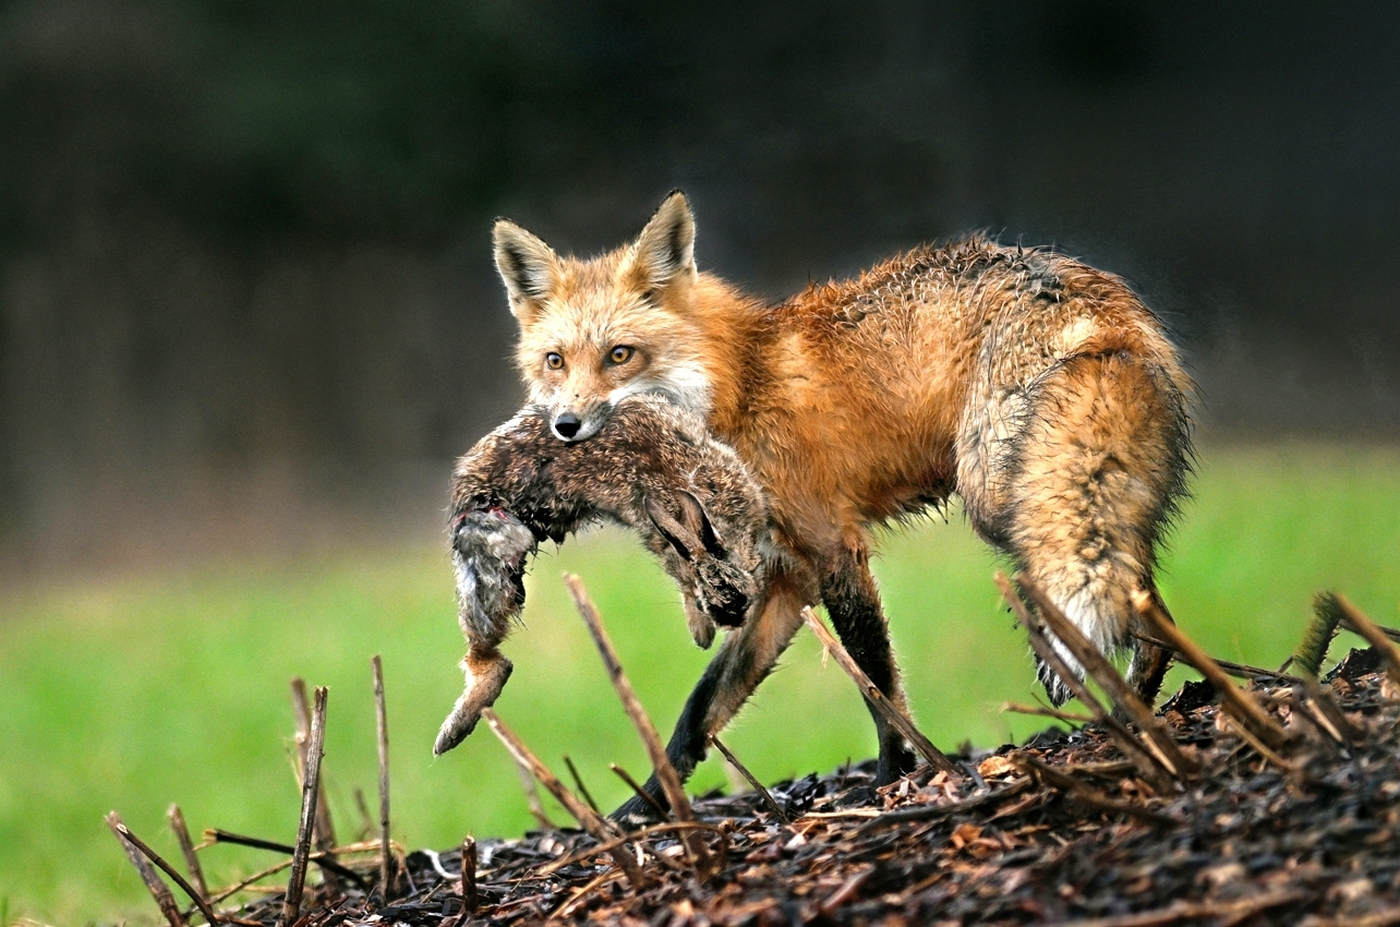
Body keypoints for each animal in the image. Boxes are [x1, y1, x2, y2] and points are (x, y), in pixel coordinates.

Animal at [490, 190, 1193, 821]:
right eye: (555, 361)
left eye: (620, 355)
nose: (567, 426)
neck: (740, 387)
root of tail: (1085, 293)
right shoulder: (788, 576)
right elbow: (700, 710)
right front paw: (639, 812)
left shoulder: (832, 547)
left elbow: (876, 680)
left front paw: (894, 780)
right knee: (1144, 606)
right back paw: (1132, 719)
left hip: (999, 494)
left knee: (1134, 604)